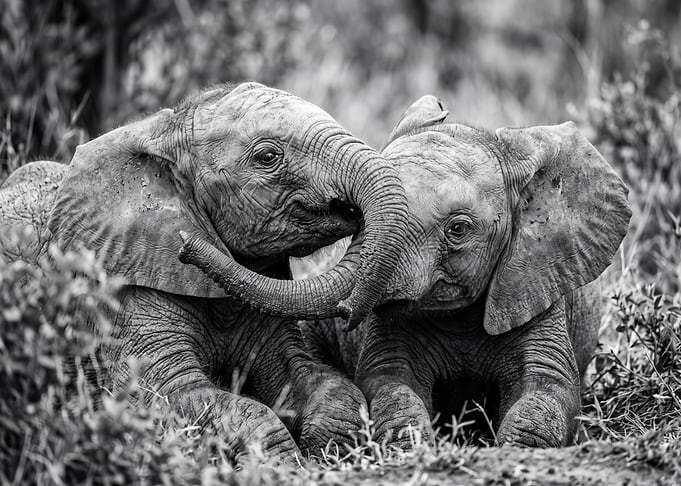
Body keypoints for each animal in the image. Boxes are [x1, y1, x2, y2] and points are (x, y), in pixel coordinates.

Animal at [0, 82, 411, 461]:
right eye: (267, 156)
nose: (187, 246)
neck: (160, 136)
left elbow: (309, 377)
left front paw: (329, 448)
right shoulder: (121, 294)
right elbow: (165, 394)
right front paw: (280, 463)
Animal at [179, 94, 632, 449]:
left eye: (458, 229)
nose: (185, 245)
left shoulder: (532, 282)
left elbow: (550, 390)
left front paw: (514, 448)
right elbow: (390, 384)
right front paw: (411, 446)